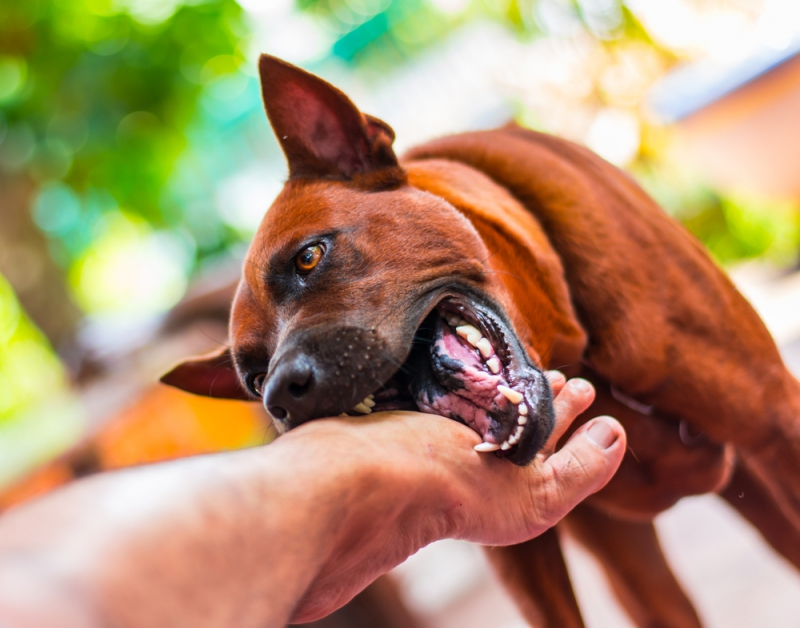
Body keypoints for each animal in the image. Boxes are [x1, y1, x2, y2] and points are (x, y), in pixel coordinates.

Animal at [162, 56, 800, 624]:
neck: (573, 349)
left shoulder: (777, 433)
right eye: (251, 378)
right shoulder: (544, 554)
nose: (280, 397)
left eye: (309, 257)